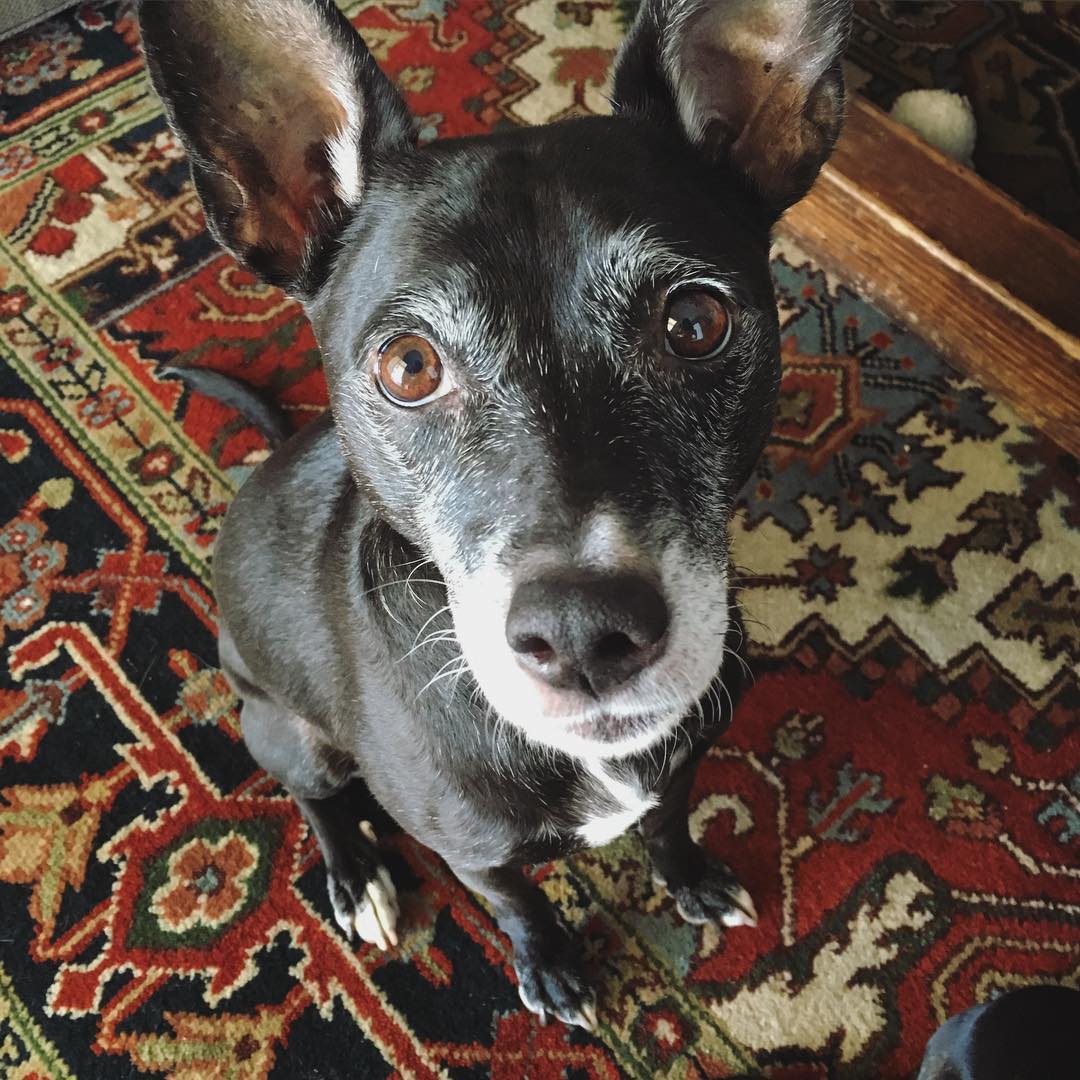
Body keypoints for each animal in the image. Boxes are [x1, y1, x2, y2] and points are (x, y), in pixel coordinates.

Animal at [141, 0, 851, 1028]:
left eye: (695, 322)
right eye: (408, 366)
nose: (585, 635)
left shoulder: (679, 764)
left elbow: (669, 825)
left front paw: (692, 880)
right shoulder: (473, 853)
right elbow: (519, 905)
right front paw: (549, 968)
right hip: (286, 734)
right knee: (317, 799)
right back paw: (357, 878)